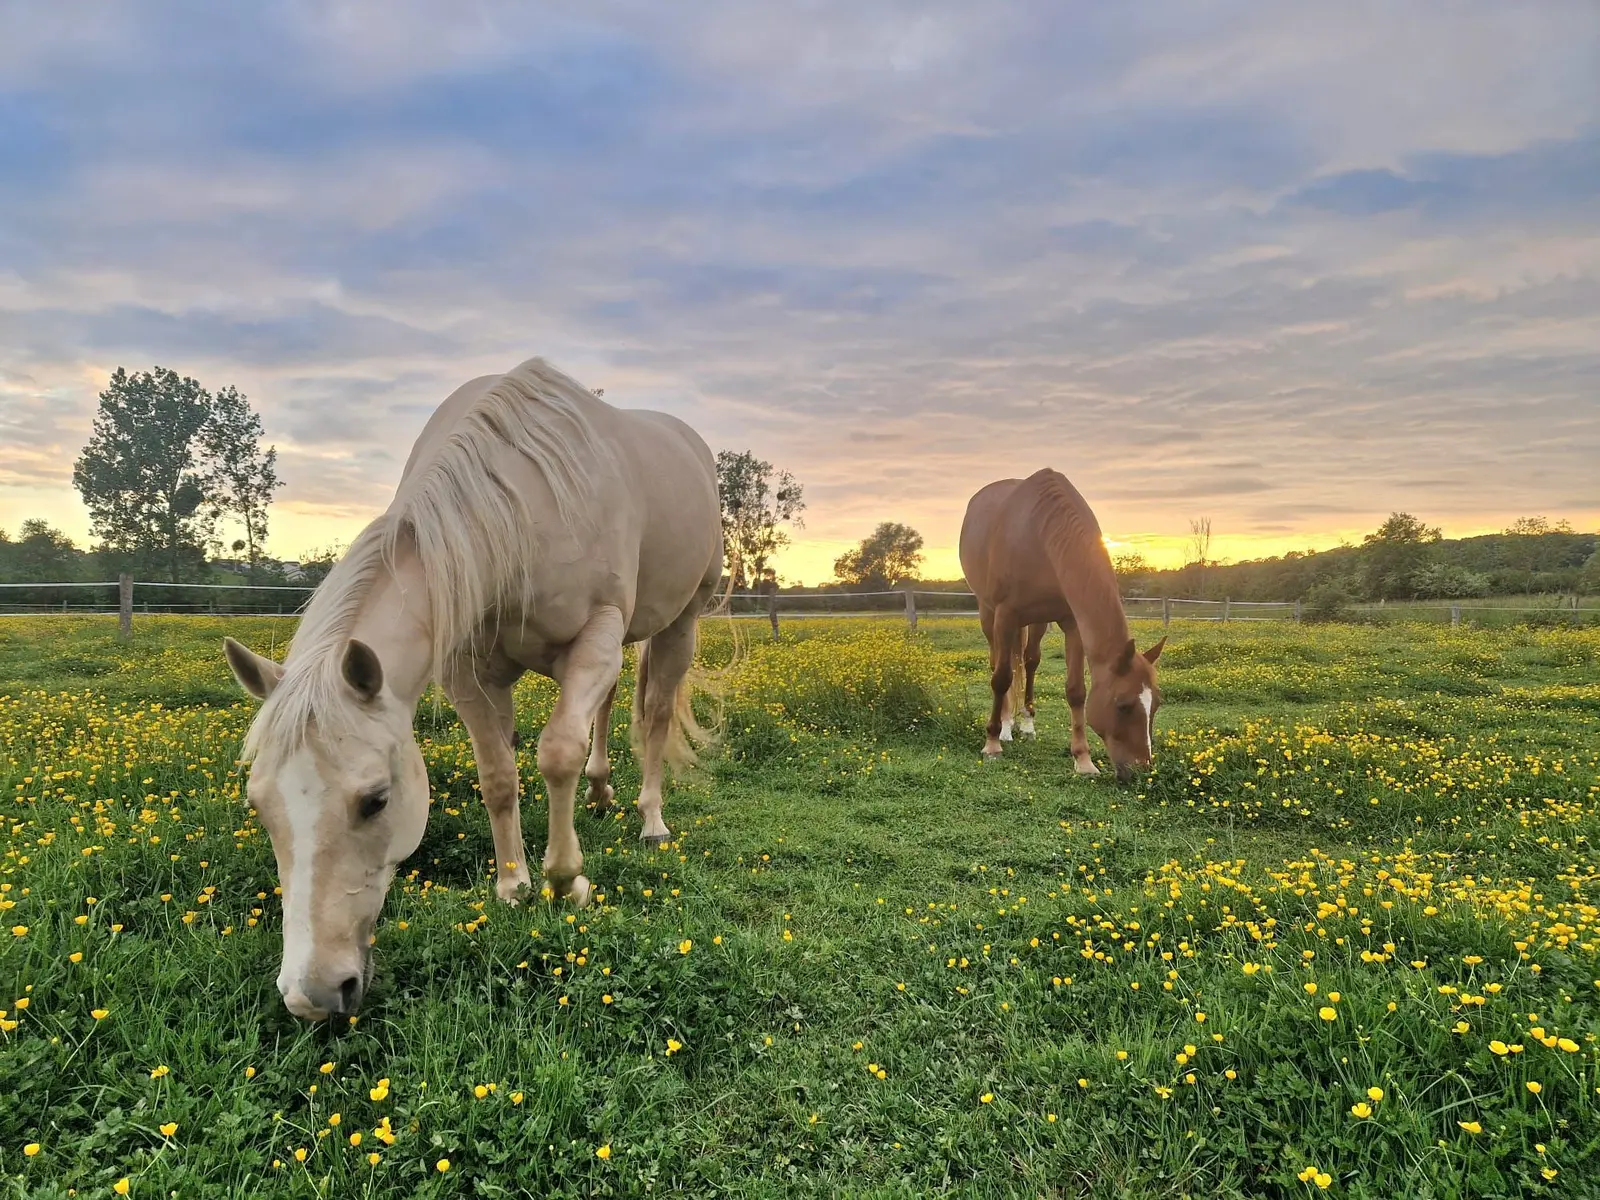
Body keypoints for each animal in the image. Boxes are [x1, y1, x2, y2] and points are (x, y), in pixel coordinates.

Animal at [222, 356, 724, 1021]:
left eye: (376, 800)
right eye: (259, 805)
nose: (313, 996)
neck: (518, 507)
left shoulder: (595, 633)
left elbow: (556, 753)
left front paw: (567, 881)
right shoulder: (470, 674)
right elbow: (498, 777)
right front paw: (514, 885)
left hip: (679, 620)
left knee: (656, 715)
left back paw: (651, 820)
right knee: (610, 709)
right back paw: (598, 791)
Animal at [958, 468, 1165, 780]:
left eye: (1156, 705)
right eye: (1124, 705)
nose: (1142, 771)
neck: (1038, 534)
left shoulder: (1071, 623)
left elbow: (1076, 690)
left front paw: (1083, 759)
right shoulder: (1005, 614)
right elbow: (1002, 678)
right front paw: (992, 743)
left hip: (1037, 621)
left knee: (1030, 661)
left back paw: (1026, 724)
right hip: (989, 614)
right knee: (999, 664)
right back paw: (1005, 727)